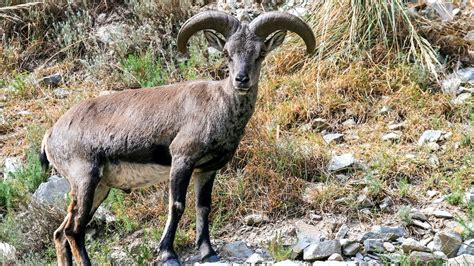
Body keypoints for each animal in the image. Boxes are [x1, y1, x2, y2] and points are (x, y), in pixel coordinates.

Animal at [40, 10, 314, 266]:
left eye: (260, 52)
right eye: (227, 53)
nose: (241, 79)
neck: (217, 105)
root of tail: (50, 135)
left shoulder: (207, 169)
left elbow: (203, 207)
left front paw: (208, 252)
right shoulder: (182, 158)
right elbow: (177, 205)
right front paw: (167, 253)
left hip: (100, 187)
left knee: (60, 232)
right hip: (84, 178)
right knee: (74, 230)